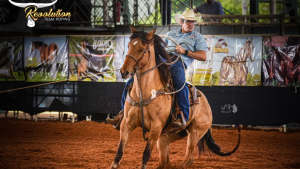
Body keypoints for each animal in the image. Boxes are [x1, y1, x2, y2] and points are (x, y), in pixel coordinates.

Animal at [109, 25, 239, 168]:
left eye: (142, 49)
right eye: (129, 46)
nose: (124, 71)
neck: (144, 93)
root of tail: (206, 103)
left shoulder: (156, 128)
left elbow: (146, 154)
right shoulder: (127, 124)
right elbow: (119, 152)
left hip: (194, 132)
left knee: (189, 156)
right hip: (166, 136)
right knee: (165, 161)